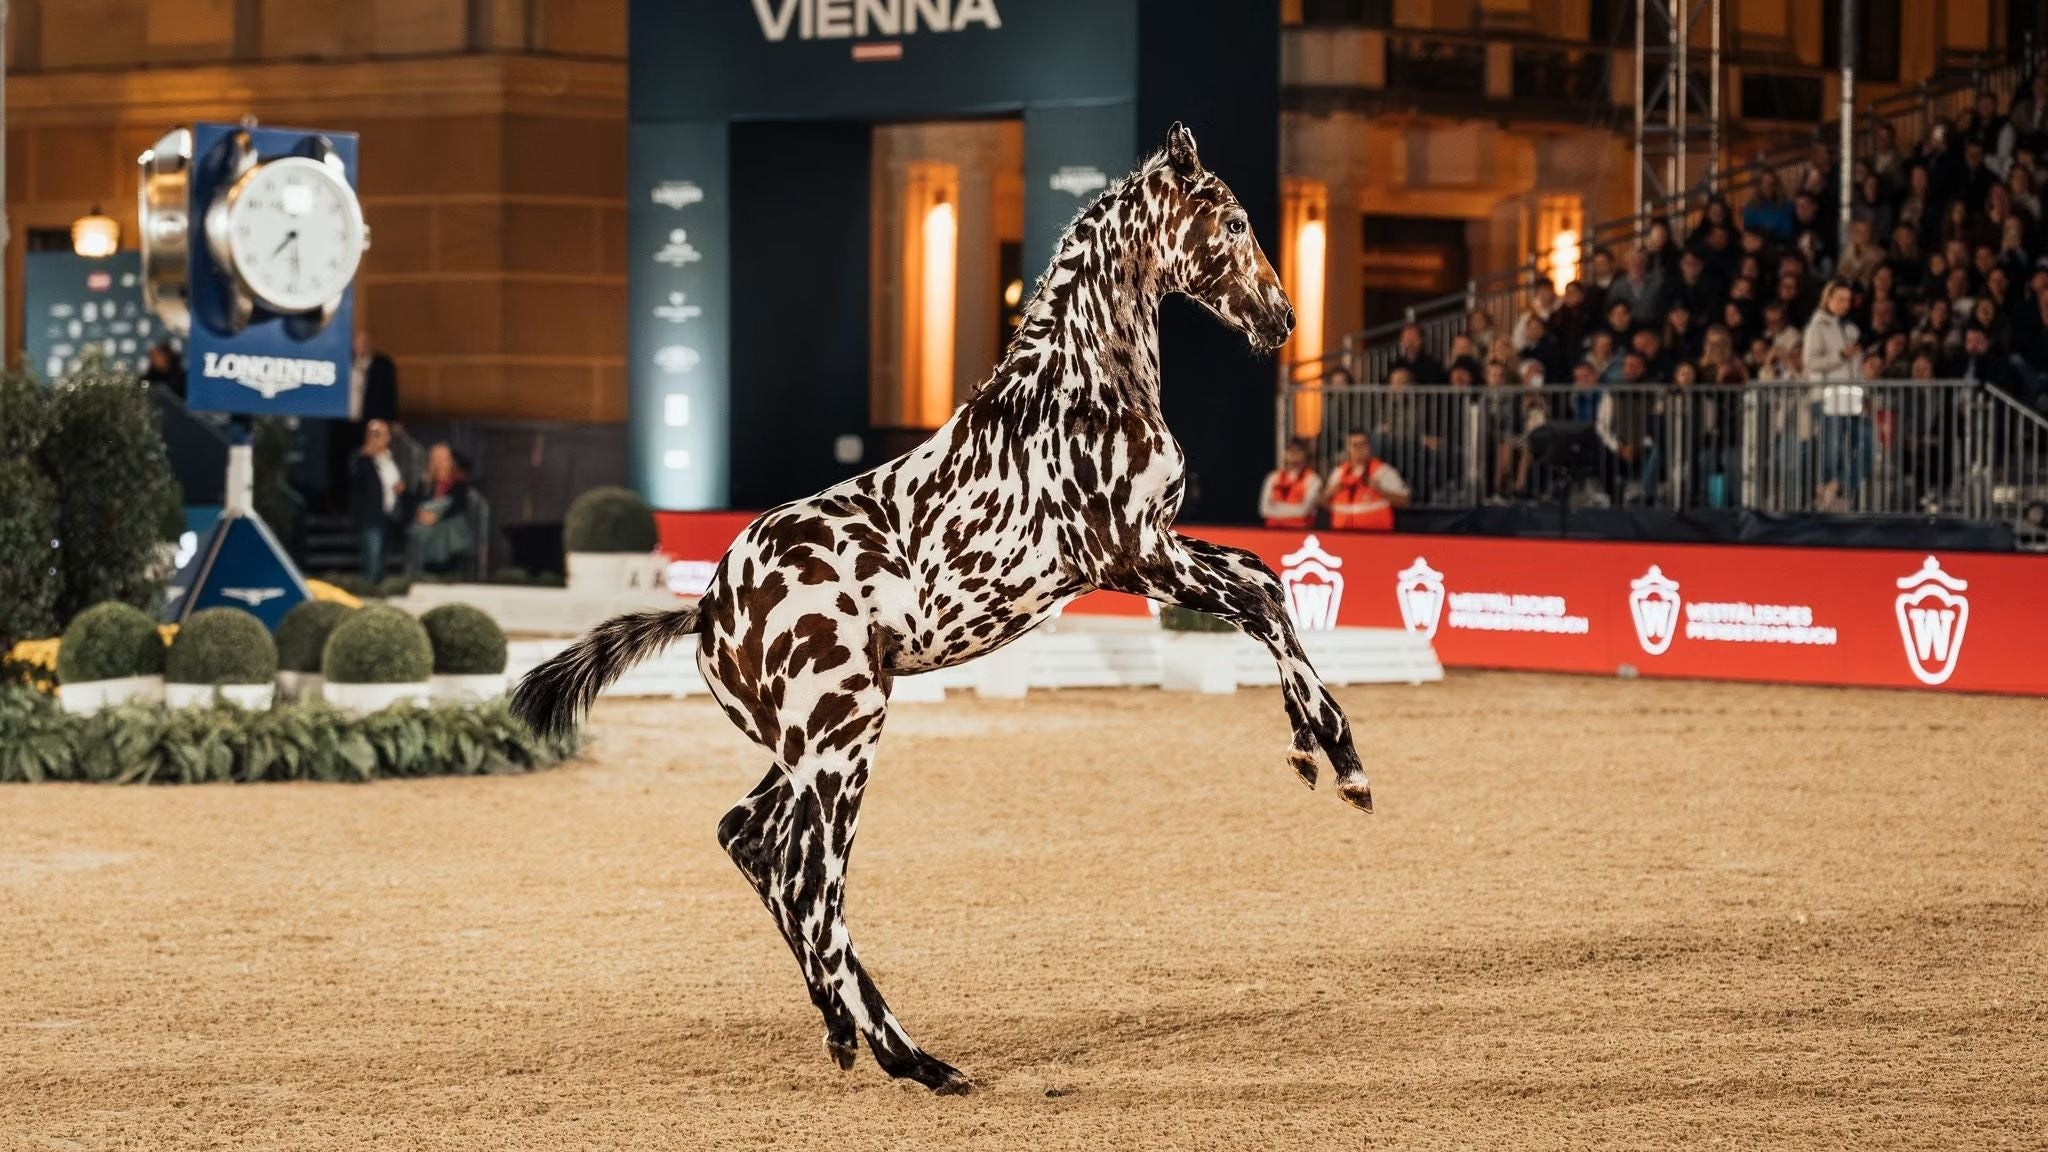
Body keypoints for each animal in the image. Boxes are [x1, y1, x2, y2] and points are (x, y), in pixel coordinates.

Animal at [512, 123, 1372, 1093]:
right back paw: (915, 1061)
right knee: (809, 883)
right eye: (1229, 221)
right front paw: (1340, 762)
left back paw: (847, 1035)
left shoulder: (1152, 550)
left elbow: (1265, 581)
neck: (1079, 390)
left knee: (753, 844)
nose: (1281, 320)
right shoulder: (1132, 555)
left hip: (802, 748)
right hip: (843, 740)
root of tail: (706, 612)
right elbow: (1261, 595)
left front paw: (1318, 749)